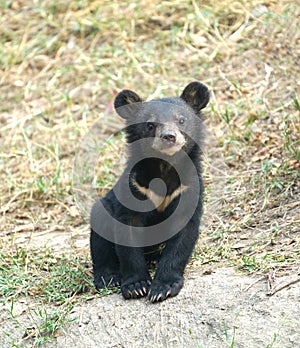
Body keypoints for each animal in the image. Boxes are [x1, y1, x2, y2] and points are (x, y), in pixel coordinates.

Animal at [90, 81, 210, 302]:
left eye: (181, 120)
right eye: (150, 125)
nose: (169, 137)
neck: (164, 166)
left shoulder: (188, 188)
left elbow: (182, 237)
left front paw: (163, 287)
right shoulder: (134, 187)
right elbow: (128, 233)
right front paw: (136, 286)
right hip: (103, 209)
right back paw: (108, 277)